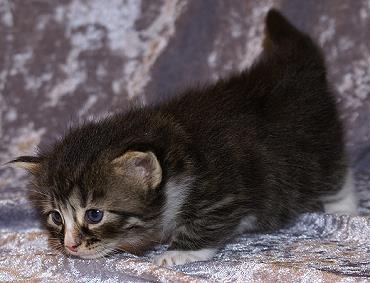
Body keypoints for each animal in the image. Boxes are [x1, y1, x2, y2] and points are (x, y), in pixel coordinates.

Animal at [10, 8, 356, 266]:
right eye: (56, 217)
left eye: (94, 214)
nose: (70, 246)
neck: (178, 153)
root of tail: (295, 70)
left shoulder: (226, 190)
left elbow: (208, 222)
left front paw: (179, 252)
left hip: (319, 151)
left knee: (338, 175)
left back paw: (345, 211)